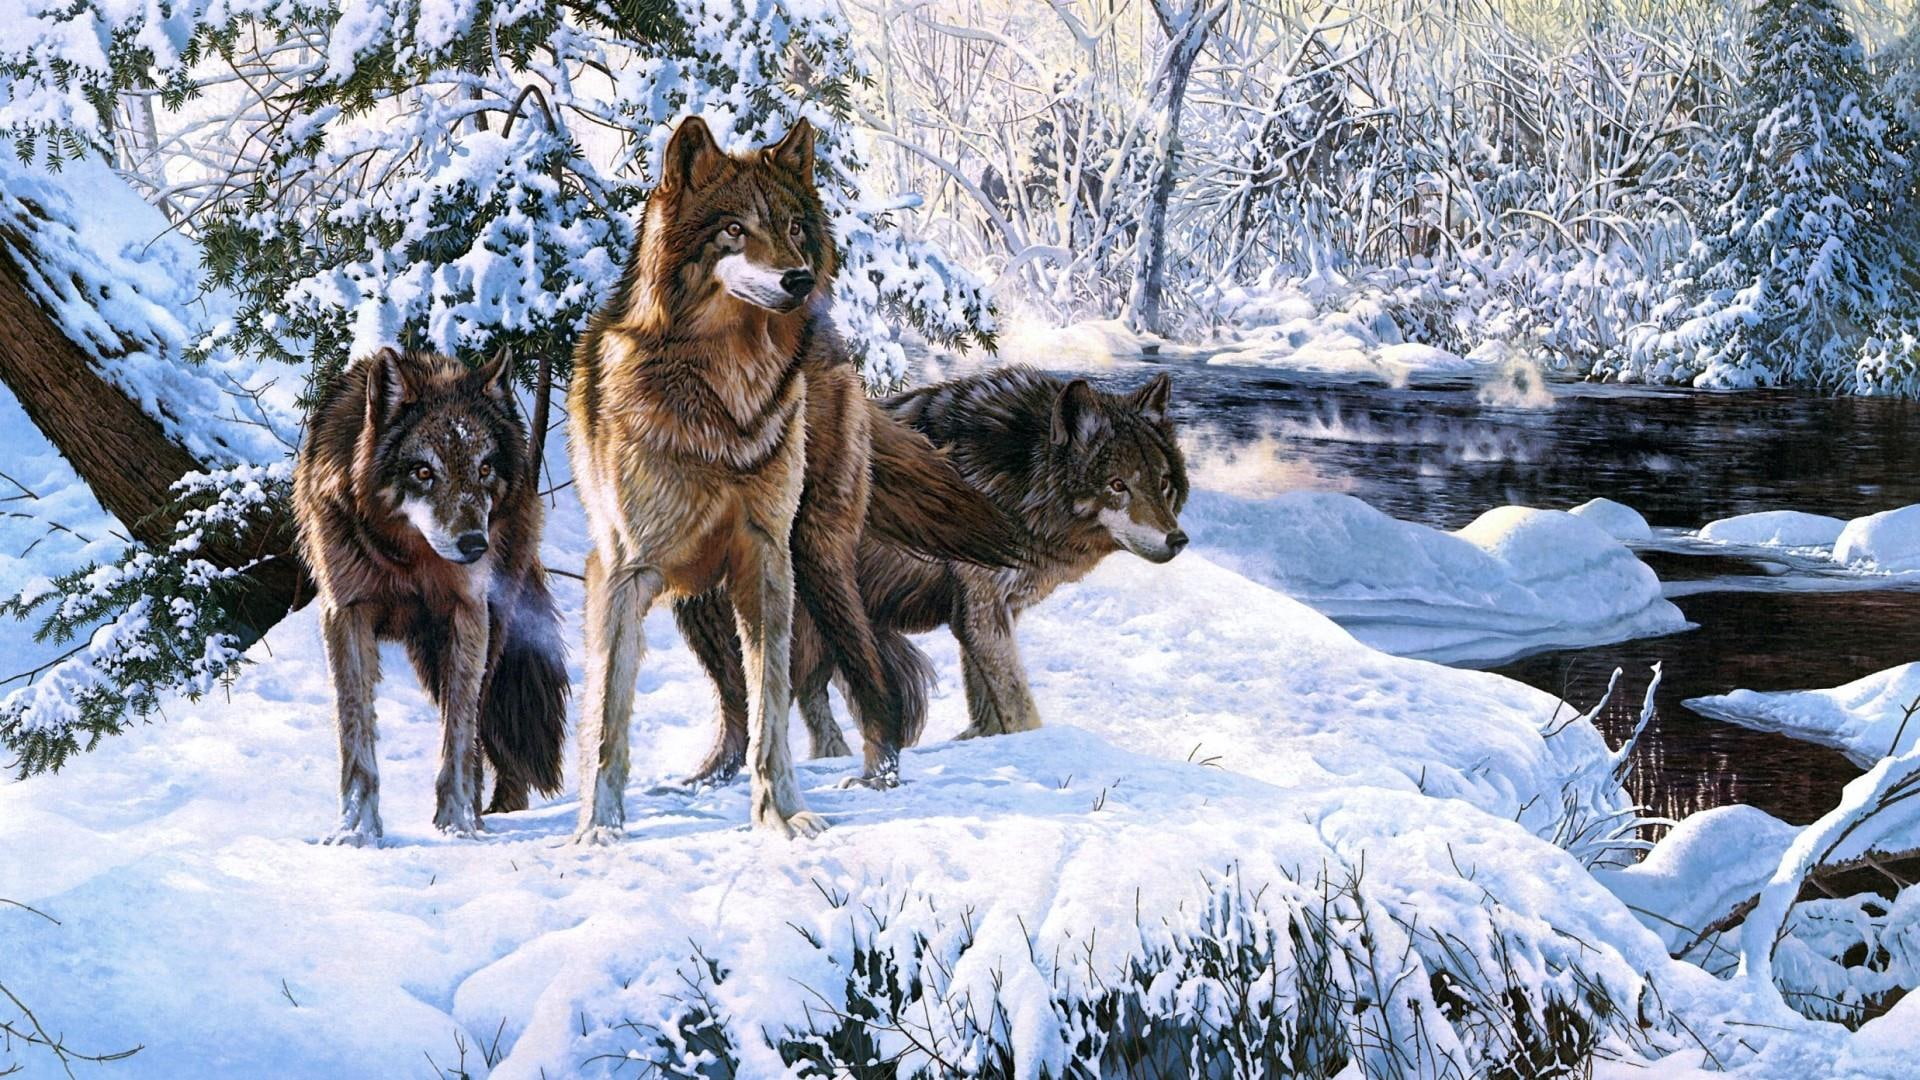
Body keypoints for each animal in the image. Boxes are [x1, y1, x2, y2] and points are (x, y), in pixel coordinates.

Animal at [293, 348, 569, 846]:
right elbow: (354, 729)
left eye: (483, 469)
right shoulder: (346, 614)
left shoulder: (467, 612)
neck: (407, 559)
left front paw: (456, 823)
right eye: (423, 472)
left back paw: (485, 813)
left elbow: (459, 733)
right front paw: (356, 831)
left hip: (479, 634)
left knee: (479, 719)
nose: (474, 545)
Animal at [567, 116, 1022, 841]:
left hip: (816, 559)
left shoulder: (766, 560)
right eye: (733, 229)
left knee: (870, 679)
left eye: (794, 227)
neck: (722, 400)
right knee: (731, 707)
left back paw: (877, 777)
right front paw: (599, 829)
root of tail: (834, 346)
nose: (799, 280)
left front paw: (782, 816)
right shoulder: (622, 571)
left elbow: (772, 708)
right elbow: (609, 716)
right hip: (700, 604)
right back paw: (704, 781)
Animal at [679, 366, 1188, 763]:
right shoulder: (982, 612)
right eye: (1118, 485)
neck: (1018, 480)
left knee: (806, 702)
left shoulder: (988, 615)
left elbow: (987, 707)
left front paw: (981, 743)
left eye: (1163, 483)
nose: (1178, 539)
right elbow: (1020, 708)